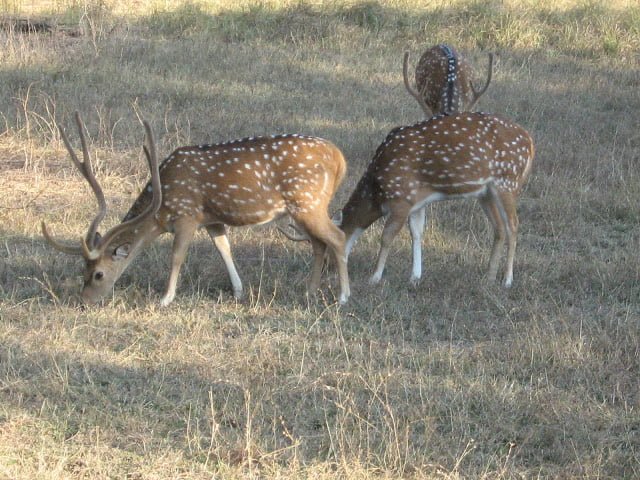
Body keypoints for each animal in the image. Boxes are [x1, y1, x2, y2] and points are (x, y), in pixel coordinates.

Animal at [41, 113, 350, 306]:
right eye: (82, 271)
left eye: (98, 274)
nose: (84, 301)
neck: (160, 206)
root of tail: (339, 158)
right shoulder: (211, 219)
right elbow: (224, 249)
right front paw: (238, 291)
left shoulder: (187, 214)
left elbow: (177, 255)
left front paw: (165, 298)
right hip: (305, 209)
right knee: (319, 244)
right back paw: (309, 292)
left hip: (308, 202)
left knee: (338, 238)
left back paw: (343, 296)